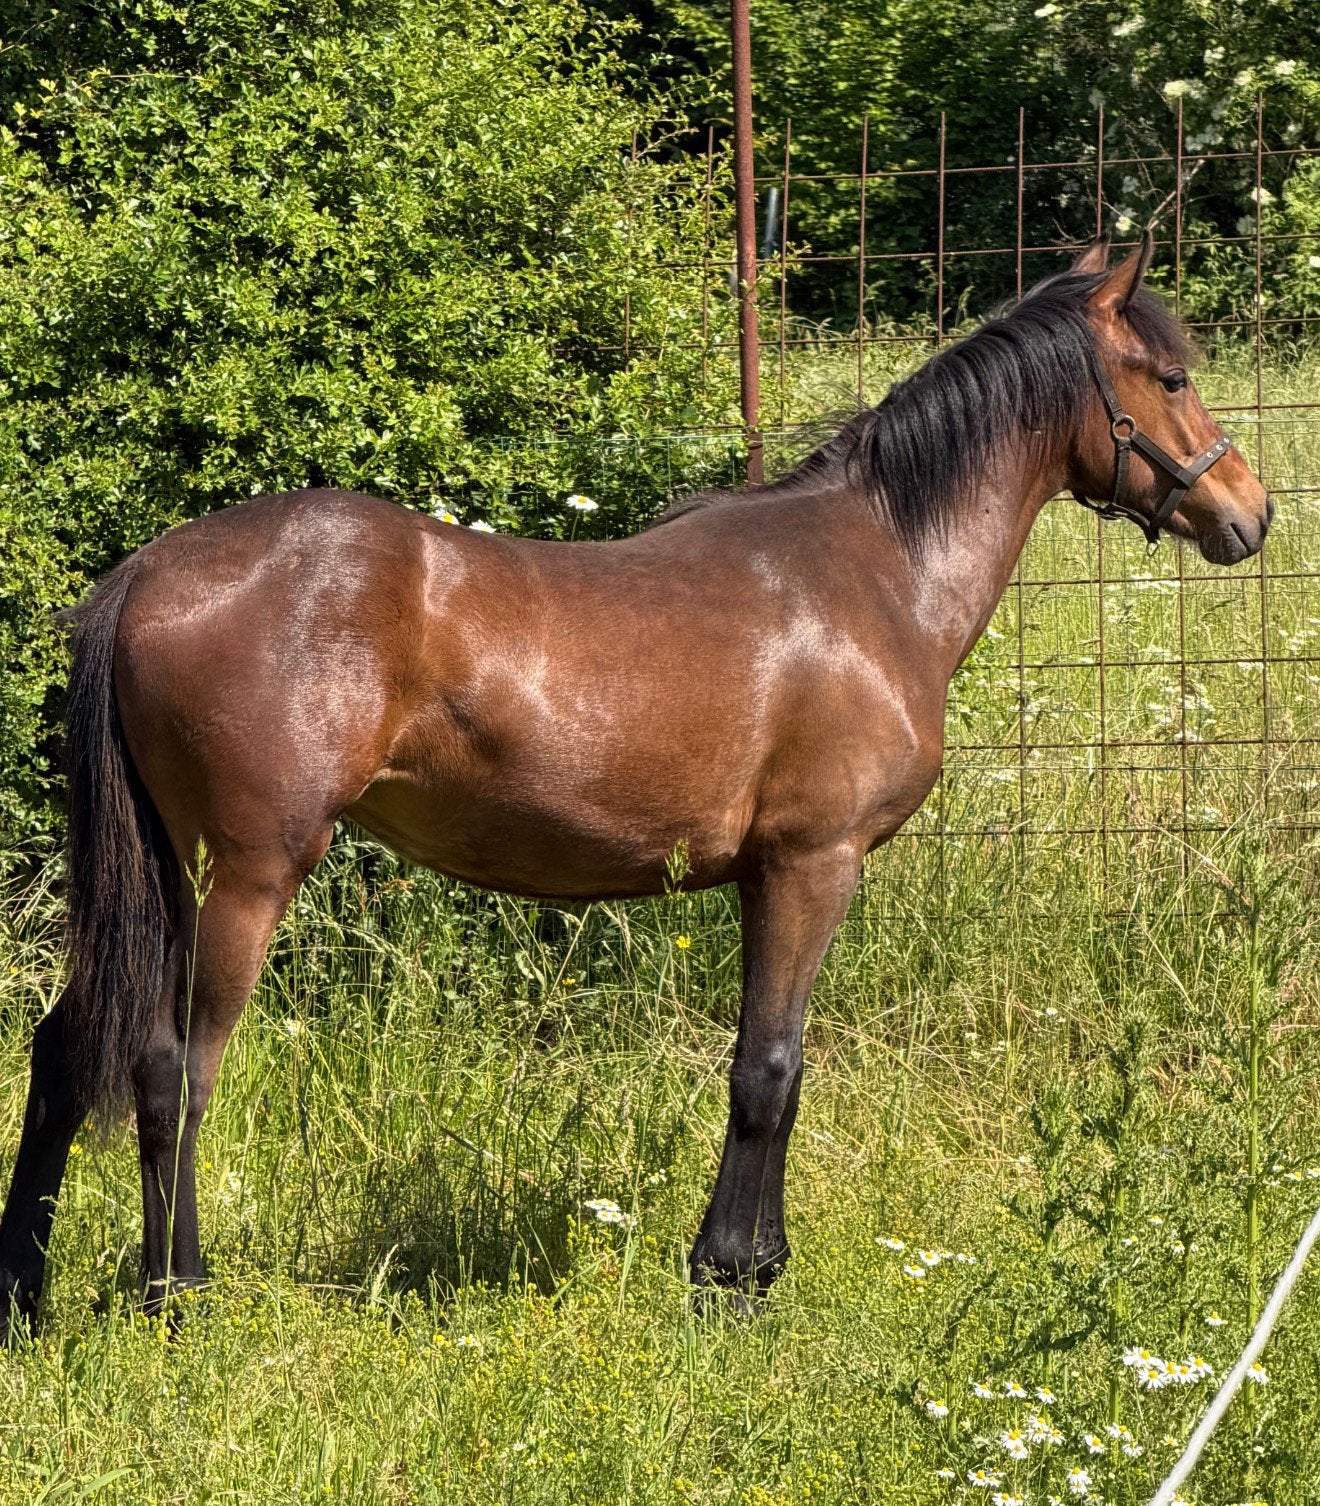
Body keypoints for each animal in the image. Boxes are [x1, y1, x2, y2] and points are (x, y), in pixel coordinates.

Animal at [0, 234, 1271, 1335]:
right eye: (1169, 375)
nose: (1249, 513)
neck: (877, 571)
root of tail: (146, 575)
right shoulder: (815, 864)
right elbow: (769, 1070)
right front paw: (730, 1280)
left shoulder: (764, 875)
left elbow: (772, 1065)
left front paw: (751, 1266)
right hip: (248, 876)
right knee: (173, 1070)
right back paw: (177, 1293)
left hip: (165, 877)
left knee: (65, 1052)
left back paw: (23, 1289)